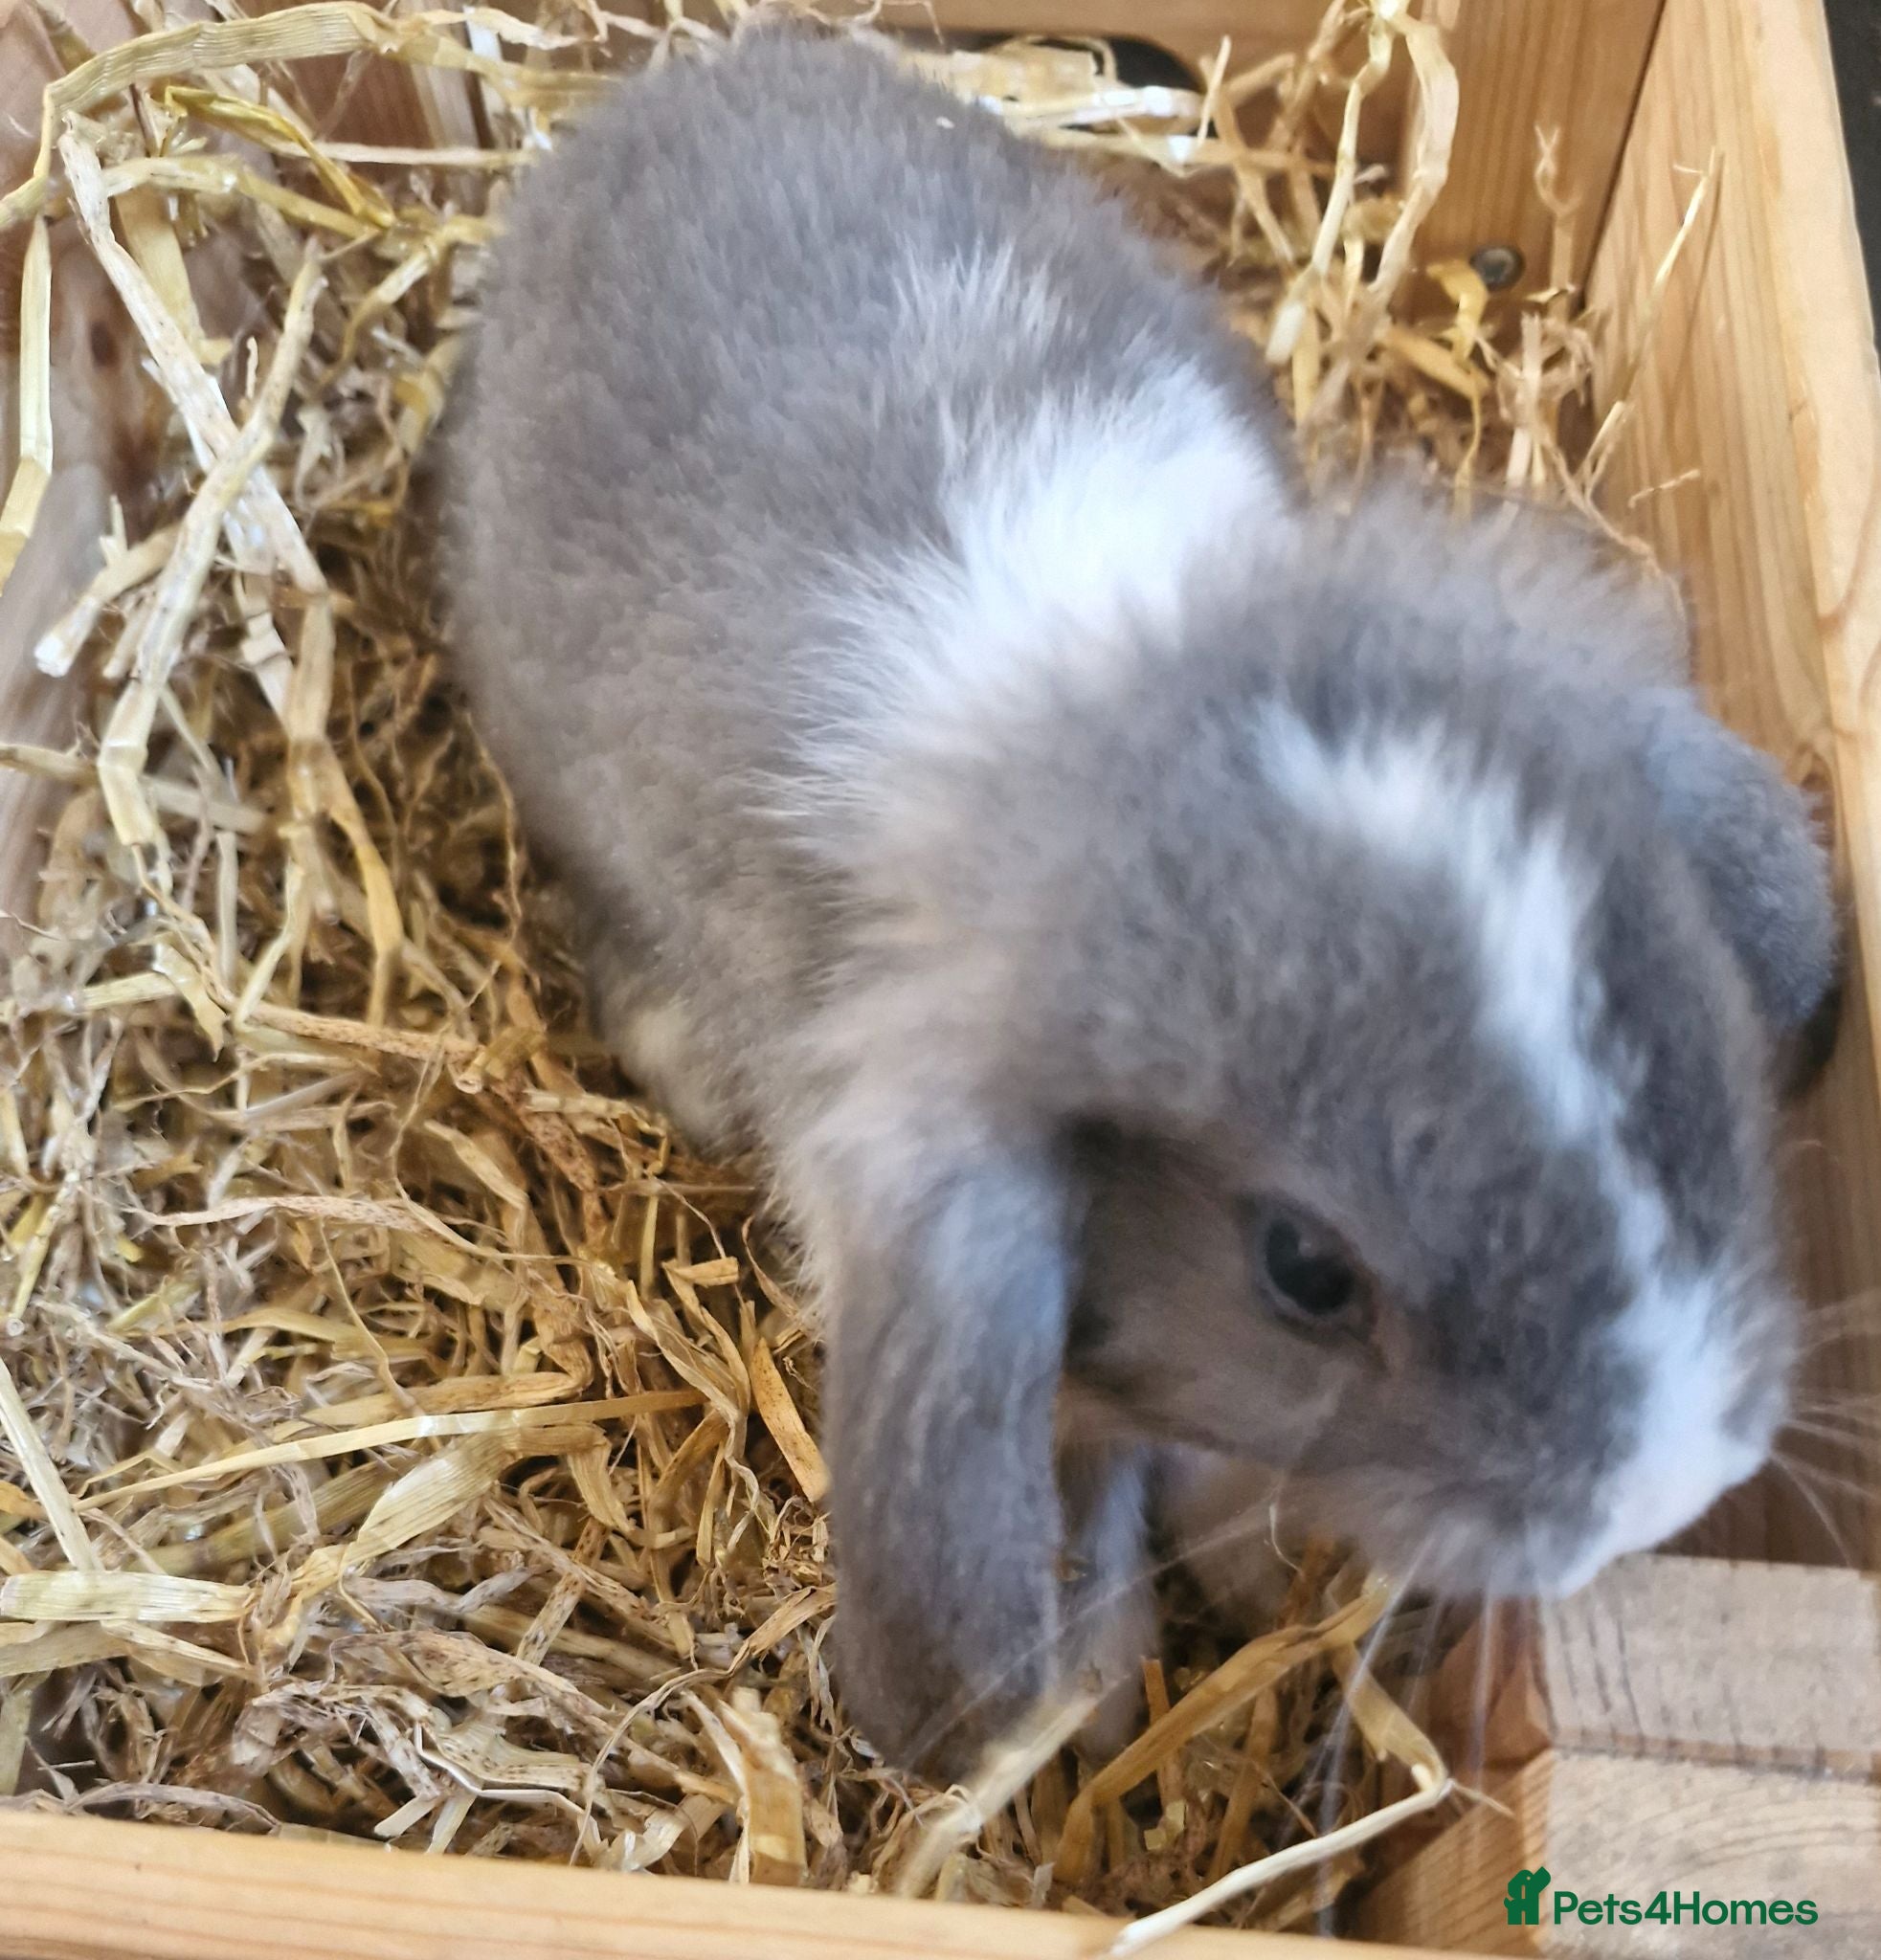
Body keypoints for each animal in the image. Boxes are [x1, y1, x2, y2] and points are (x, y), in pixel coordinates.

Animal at [440, 23, 1837, 1781]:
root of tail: (673, 83)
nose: (1666, 1491)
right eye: (1304, 1268)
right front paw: (1096, 1700)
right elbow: (1090, 1503)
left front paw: (1235, 1580)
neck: (1112, 715)